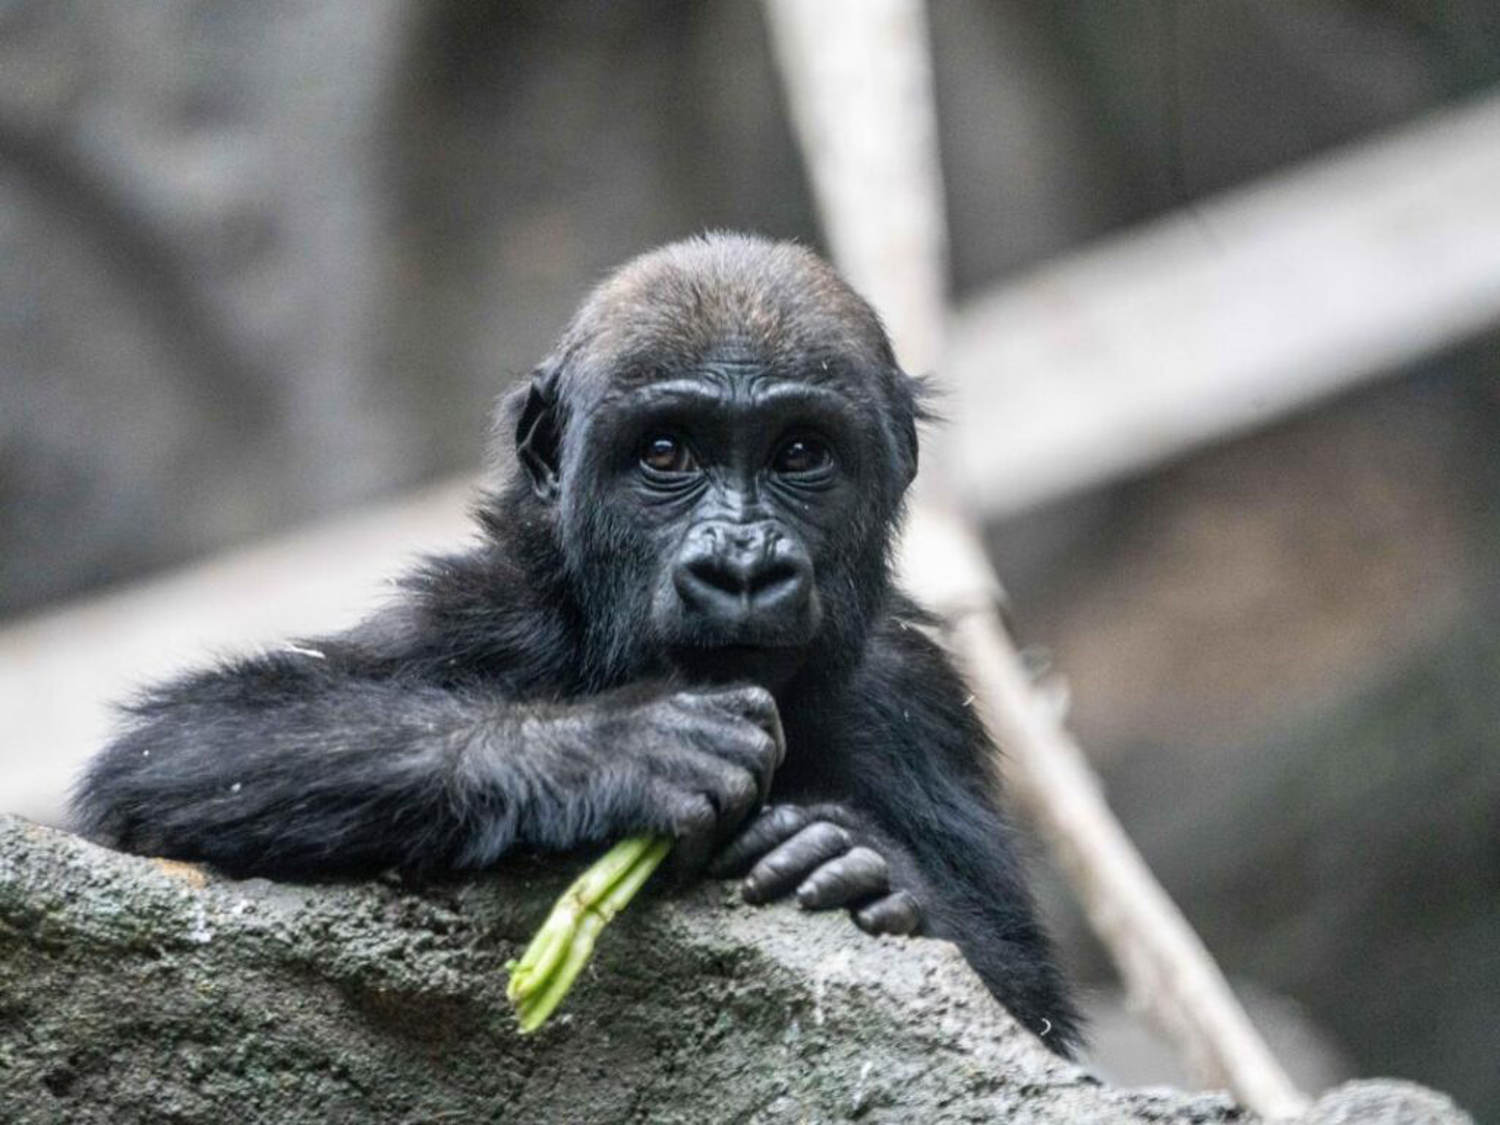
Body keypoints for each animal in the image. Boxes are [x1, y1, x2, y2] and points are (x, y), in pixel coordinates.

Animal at [76, 231, 1080, 1056]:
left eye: (800, 453)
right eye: (667, 453)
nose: (742, 566)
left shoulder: (917, 693)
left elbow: (1027, 999)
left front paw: (856, 863)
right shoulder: (479, 611)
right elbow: (182, 750)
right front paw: (619, 749)